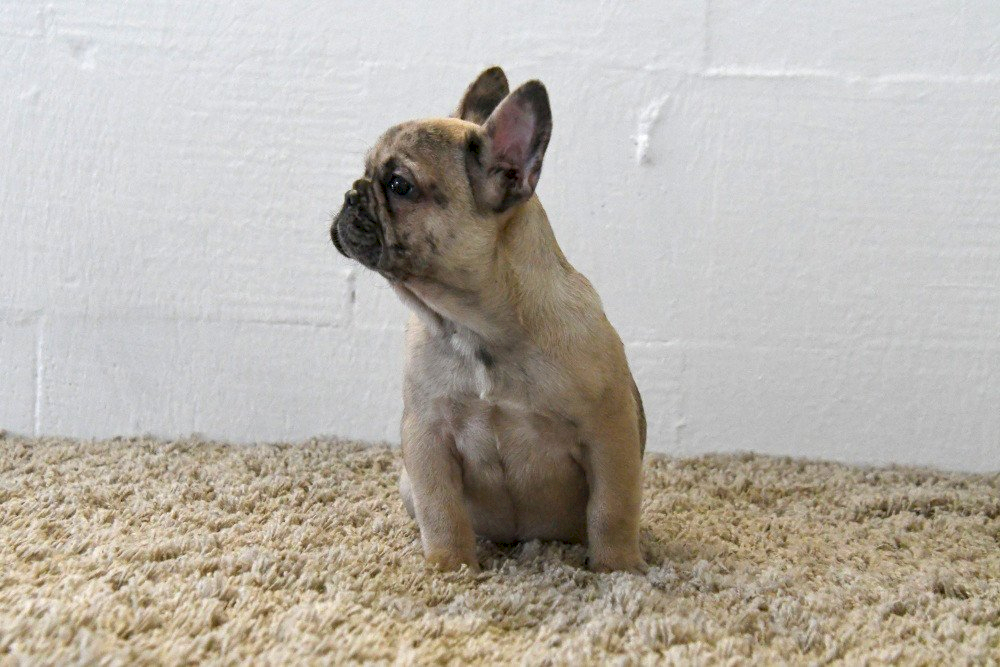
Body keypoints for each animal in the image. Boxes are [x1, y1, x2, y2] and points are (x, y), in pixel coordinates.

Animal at [331, 67, 646, 573]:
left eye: (399, 185)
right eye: (366, 172)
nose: (350, 194)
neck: (476, 329)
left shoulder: (609, 434)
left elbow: (612, 508)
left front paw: (617, 569)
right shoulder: (427, 436)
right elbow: (440, 508)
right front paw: (448, 567)